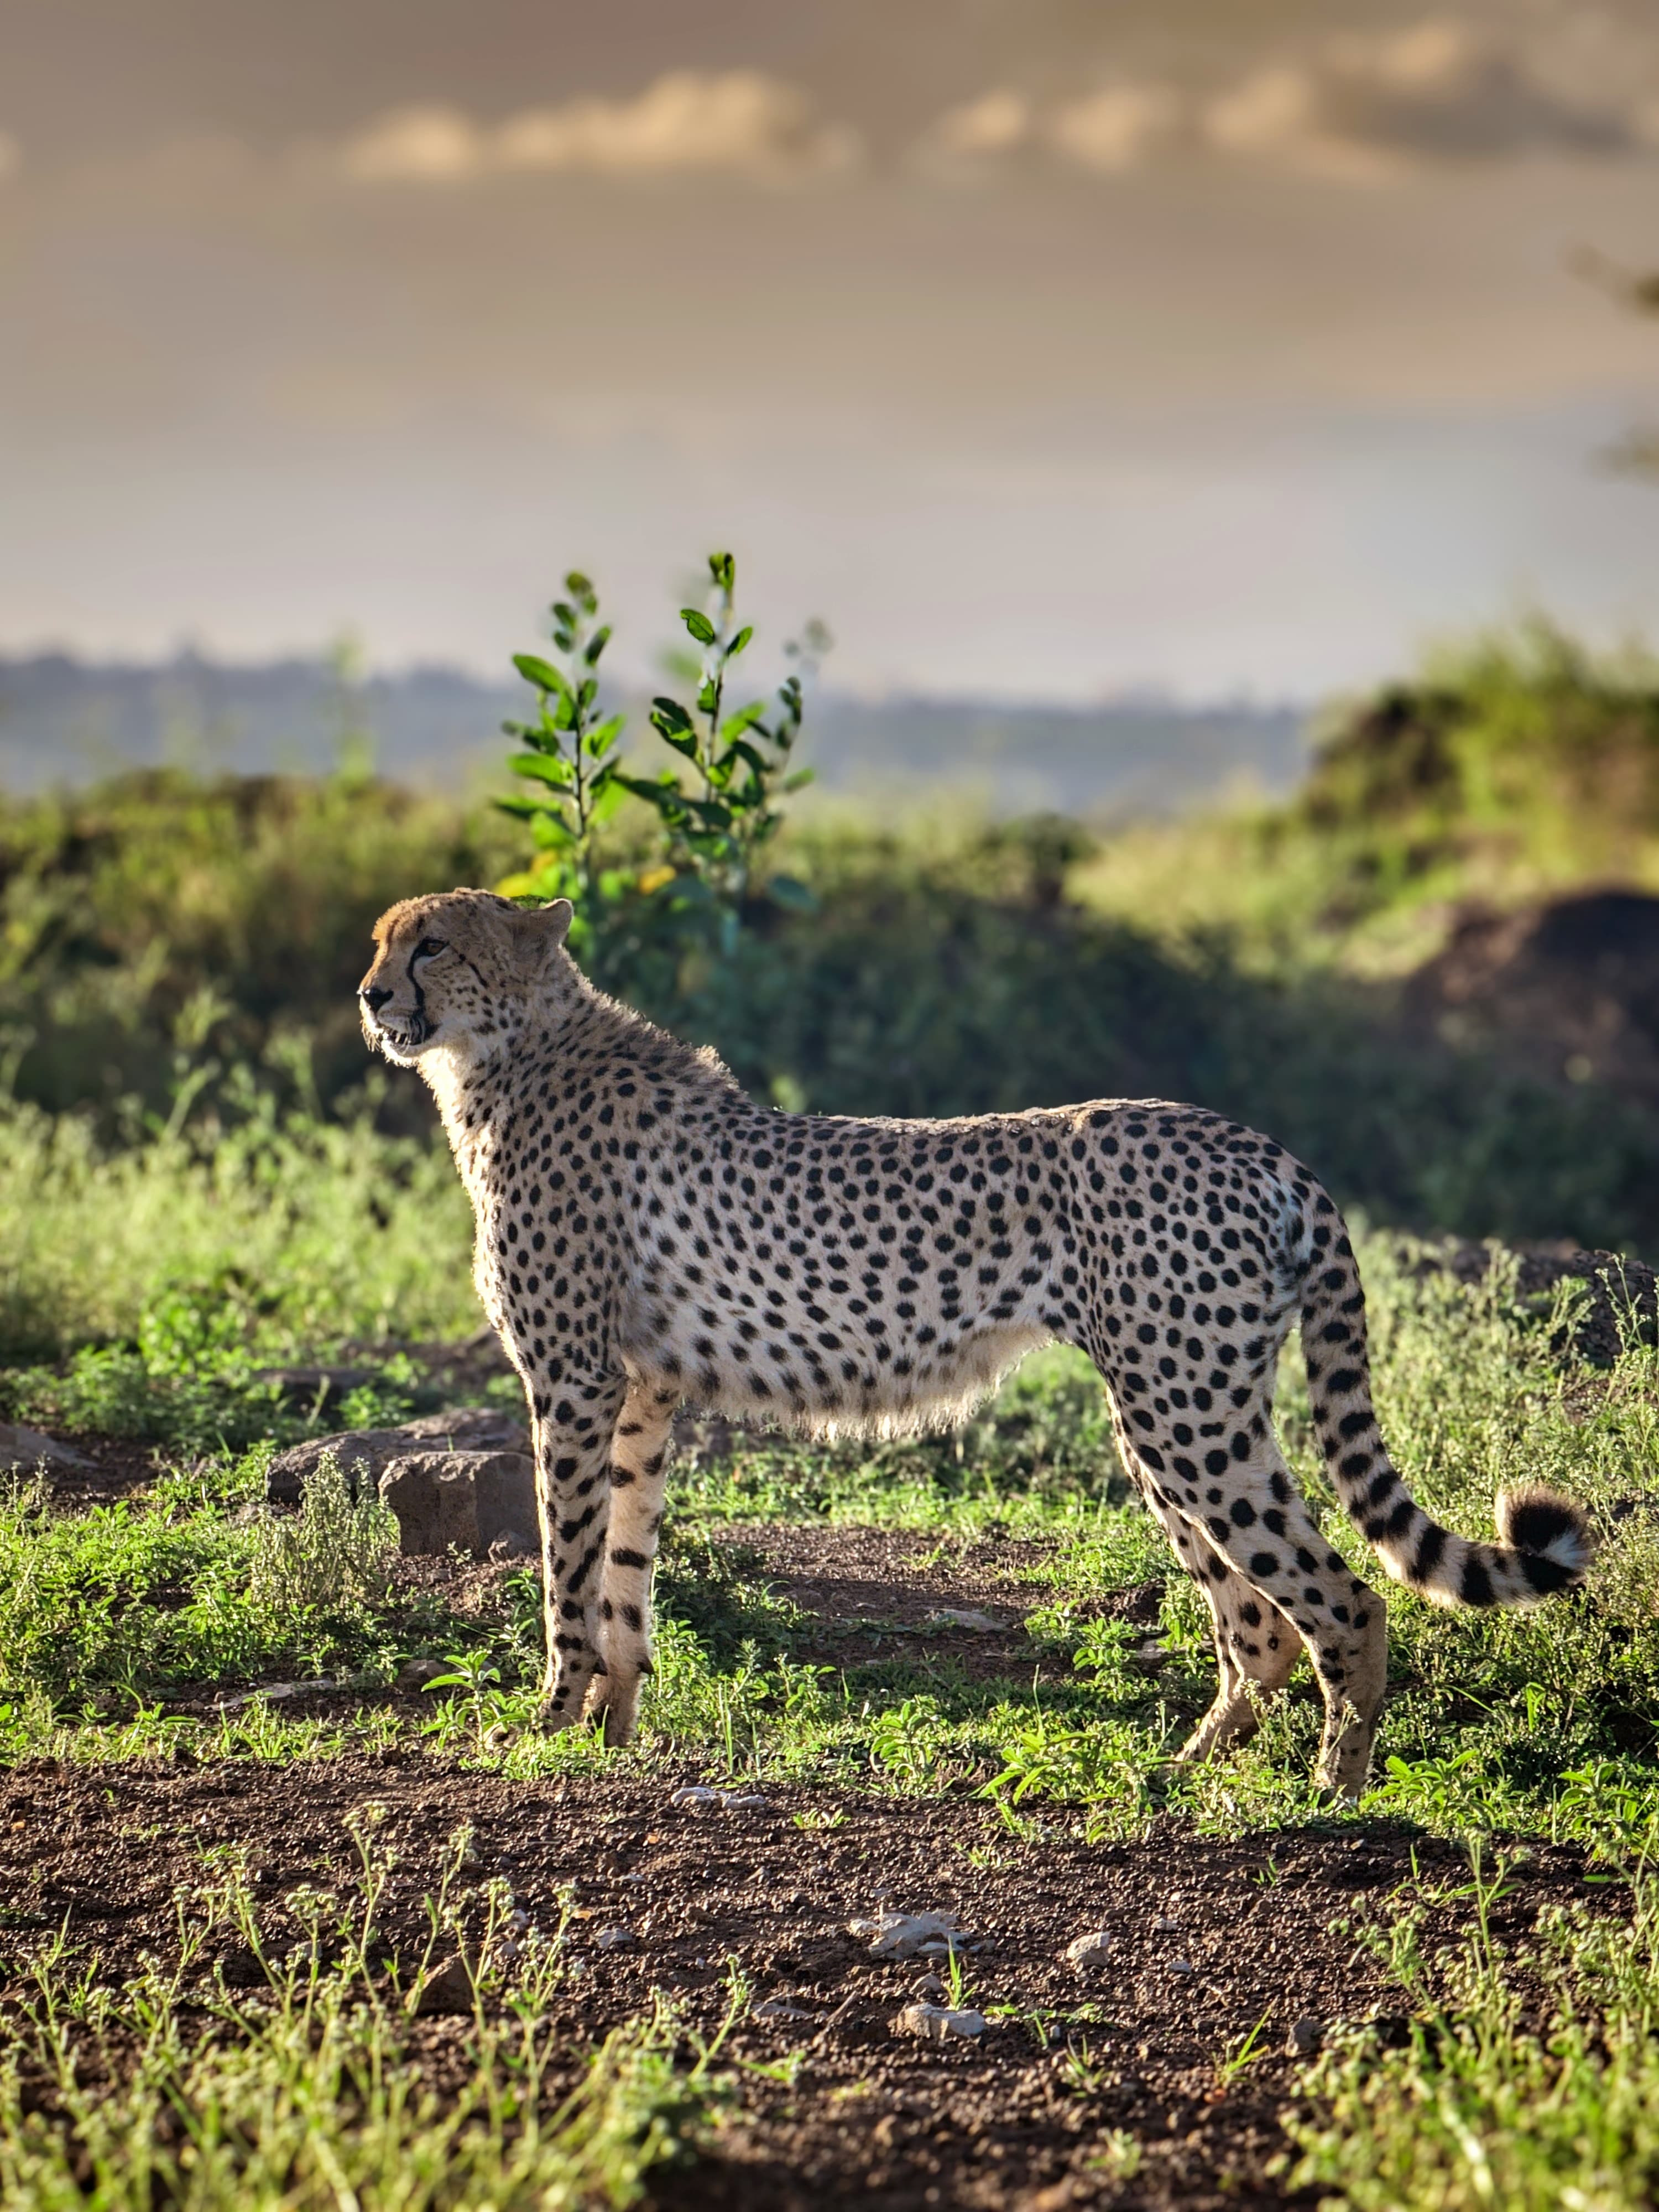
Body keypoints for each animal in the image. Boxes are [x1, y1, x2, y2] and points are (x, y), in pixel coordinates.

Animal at [359, 887, 1594, 1793]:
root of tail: (1259, 1144)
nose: (370, 998)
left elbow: (566, 1568)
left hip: (1183, 1412)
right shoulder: (642, 1393)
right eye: (381, 942)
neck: (509, 1054)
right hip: (1172, 1419)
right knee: (1259, 1622)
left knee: (1345, 1599)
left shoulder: (571, 1381)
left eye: (432, 944)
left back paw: (1332, 1791)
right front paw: (613, 1734)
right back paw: (1184, 1773)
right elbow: (623, 1571)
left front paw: (552, 1721)